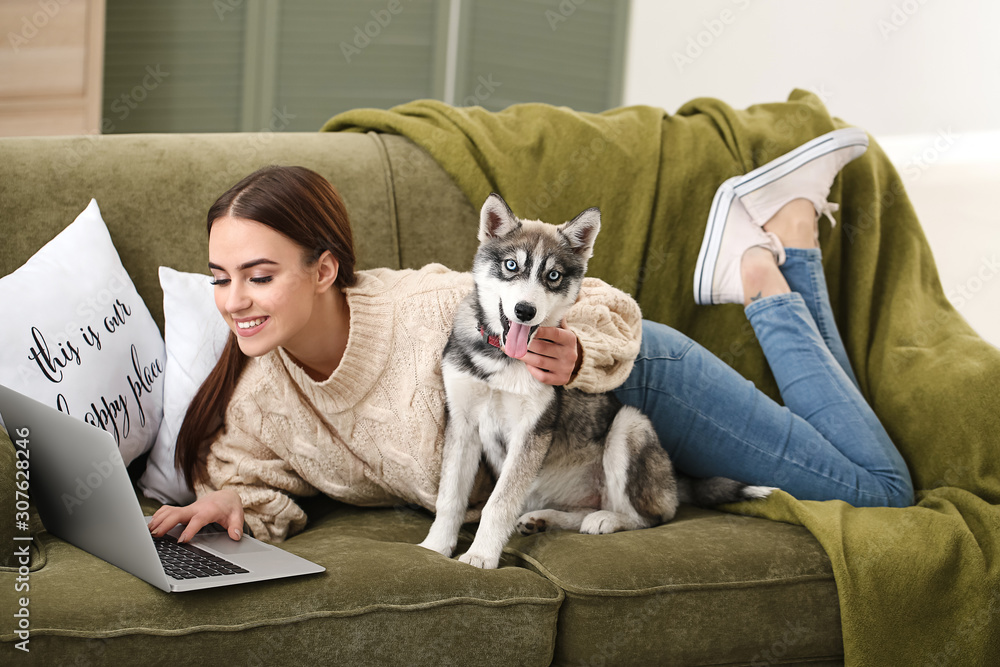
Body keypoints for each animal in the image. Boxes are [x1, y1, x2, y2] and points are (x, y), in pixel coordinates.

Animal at [416, 192, 772, 568]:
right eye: (511, 266)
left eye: (553, 275)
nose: (525, 311)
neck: (503, 359)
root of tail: (673, 481)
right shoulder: (463, 423)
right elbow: (449, 498)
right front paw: (435, 547)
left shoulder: (531, 430)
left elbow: (499, 504)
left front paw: (481, 555)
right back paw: (545, 518)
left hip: (629, 425)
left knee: (651, 517)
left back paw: (606, 520)